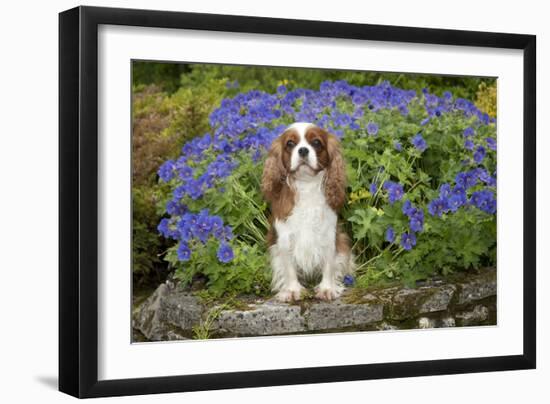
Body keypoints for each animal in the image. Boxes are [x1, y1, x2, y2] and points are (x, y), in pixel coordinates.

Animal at [262, 121, 354, 302]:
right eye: (290, 143)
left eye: (316, 142)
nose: (303, 150)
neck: (306, 185)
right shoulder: (284, 238)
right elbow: (289, 268)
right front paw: (292, 290)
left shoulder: (329, 235)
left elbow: (329, 265)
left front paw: (327, 289)